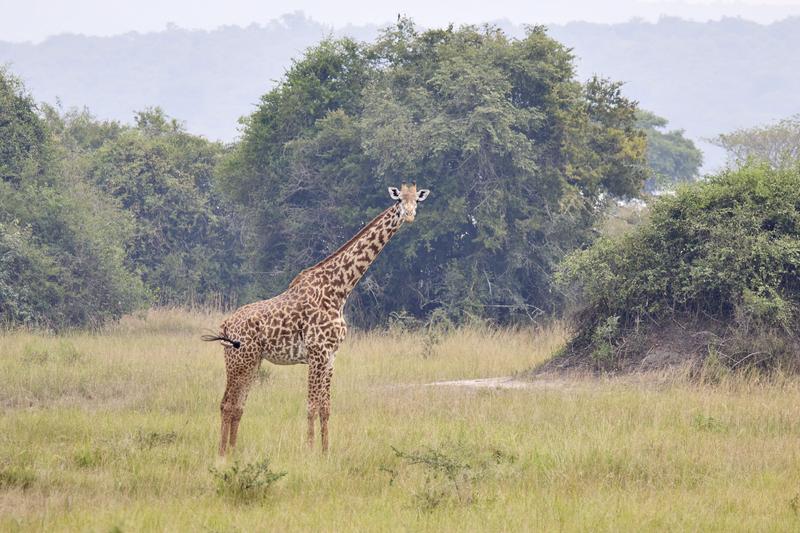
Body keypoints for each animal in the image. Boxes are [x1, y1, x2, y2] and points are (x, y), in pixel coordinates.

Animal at [205, 183, 432, 454]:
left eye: (416, 201)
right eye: (399, 201)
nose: (409, 215)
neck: (339, 290)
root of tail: (226, 325)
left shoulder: (331, 356)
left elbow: (326, 408)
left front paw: (325, 452)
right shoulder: (316, 352)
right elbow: (311, 406)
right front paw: (310, 451)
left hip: (252, 361)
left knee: (238, 406)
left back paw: (233, 452)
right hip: (239, 360)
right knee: (226, 404)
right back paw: (221, 454)